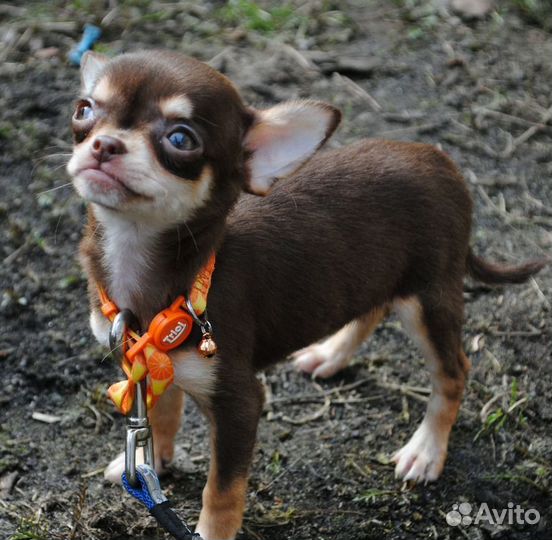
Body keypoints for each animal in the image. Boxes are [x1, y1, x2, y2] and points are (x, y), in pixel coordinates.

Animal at [68, 50, 544, 540]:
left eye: (181, 139)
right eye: (83, 110)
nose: (104, 145)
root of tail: (443, 162)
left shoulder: (240, 403)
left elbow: (222, 489)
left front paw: (211, 529)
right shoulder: (147, 362)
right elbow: (162, 412)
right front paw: (154, 463)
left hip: (428, 299)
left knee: (452, 372)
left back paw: (426, 450)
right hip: (375, 274)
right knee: (371, 309)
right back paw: (330, 354)